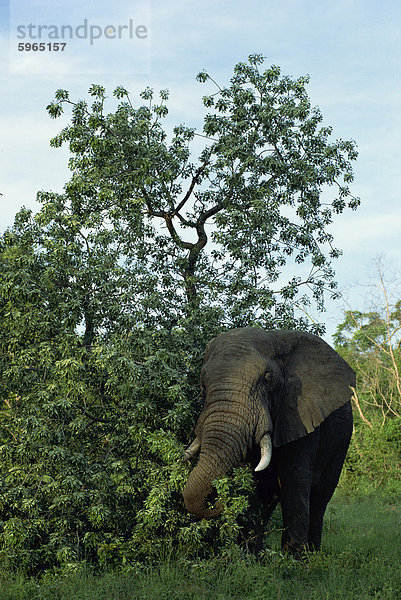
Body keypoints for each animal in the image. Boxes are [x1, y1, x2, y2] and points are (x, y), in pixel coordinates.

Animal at [181, 328, 354, 556]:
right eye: (202, 386)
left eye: (267, 379)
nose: (217, 501)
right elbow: (252, 481)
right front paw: (250, 557)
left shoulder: (299, 411)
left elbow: (294, 477)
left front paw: (294, 559)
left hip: (342, 439)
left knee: (320, 495)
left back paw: (314, 554)